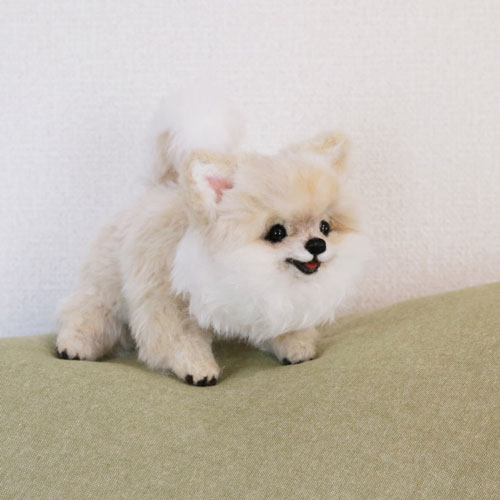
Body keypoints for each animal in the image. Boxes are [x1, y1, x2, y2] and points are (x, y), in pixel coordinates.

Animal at [56, 91, 370, 386]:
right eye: (277, 232)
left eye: (325, 227)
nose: (317, 245)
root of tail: (160, 188)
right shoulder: (167, 301)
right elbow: (180, 339)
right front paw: (198, 368)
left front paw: (296, 345)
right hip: (105, 282)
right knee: (91, 310)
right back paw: (73, 344)